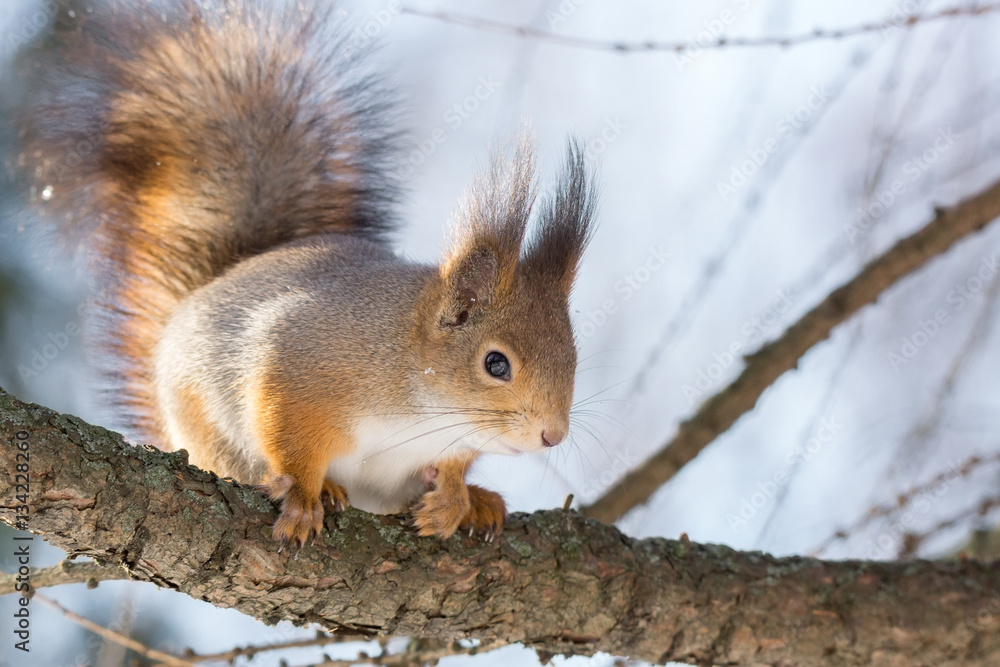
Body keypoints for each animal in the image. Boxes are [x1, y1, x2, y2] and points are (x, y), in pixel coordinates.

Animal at [10, 0, 596, 546]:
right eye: (496, 364)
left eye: (573, 358)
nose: (553, 435)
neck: (420, 400)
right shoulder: (299, 368)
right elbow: (289, 439)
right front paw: (302, 498)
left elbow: (451, 466)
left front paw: (452, 497)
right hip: (205, 423)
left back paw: (479, 502)